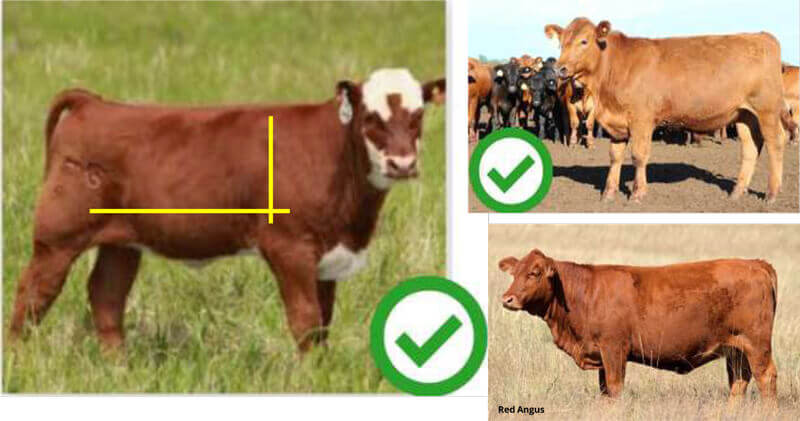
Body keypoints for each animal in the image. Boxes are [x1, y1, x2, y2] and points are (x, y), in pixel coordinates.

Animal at [9, 68, 443, 352]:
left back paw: (119, 368)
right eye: (370, 117)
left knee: (106, 296)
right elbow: (305, 320)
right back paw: (18, 359)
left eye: (418, 116)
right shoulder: (290, 247)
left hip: (122, 241)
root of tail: (95, 103)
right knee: (34, 291)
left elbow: (324, 323)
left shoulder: (329, 256)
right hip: (58, 235)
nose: (402, 164)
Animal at [498, 249, 778, 403]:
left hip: (756, 344)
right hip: (736, 350)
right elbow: (605, 392)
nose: (507, 299)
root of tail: (756, 264)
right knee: (739, 382)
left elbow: (614, 388)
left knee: (766, 378)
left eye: (534, 273)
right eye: (514, 273)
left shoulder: (613, 349)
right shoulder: (602, 355)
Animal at [546, 18, 789, 203]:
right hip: (744, 114)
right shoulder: (615, 123)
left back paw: (772, 193)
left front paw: (637, 193)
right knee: (750, 148)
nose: (560, 69)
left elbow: (639, 156)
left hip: (767, 109)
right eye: (561, 43)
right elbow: (615, 157)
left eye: (584, 41)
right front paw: (608, 193)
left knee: (776, 142)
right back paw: (737, 192)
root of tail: (761, 36)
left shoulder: (641, 119)